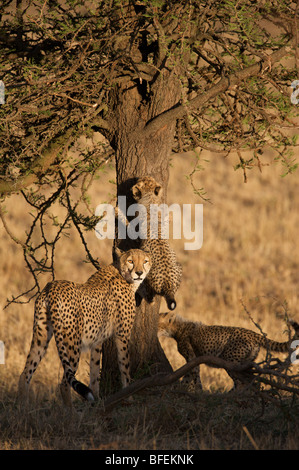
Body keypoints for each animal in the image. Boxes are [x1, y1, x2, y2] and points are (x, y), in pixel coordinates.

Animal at [17, 248, 151, 406]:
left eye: (145, 261)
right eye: (130, 261)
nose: (139, 273)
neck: (121, 272)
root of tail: (52, 287)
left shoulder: (97, 341)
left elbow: (94, 372)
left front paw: (96, 401)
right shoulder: (122, 335)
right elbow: (124, 368)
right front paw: (128, 397)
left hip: (41, 336)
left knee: (25, 375)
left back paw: (22, 408)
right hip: (73, 343)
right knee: (64, 383)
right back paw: (70, 412)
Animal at [158, 312, 299, 390]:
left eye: (158, 323)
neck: (177, 327)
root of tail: (253, 333)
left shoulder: (191, 357)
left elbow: (193, 375)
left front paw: (195, 391)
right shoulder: (193, 359)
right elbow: (191, 375)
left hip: (230, 360)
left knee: (240, 382)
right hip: (244, 362)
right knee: (250, 381)